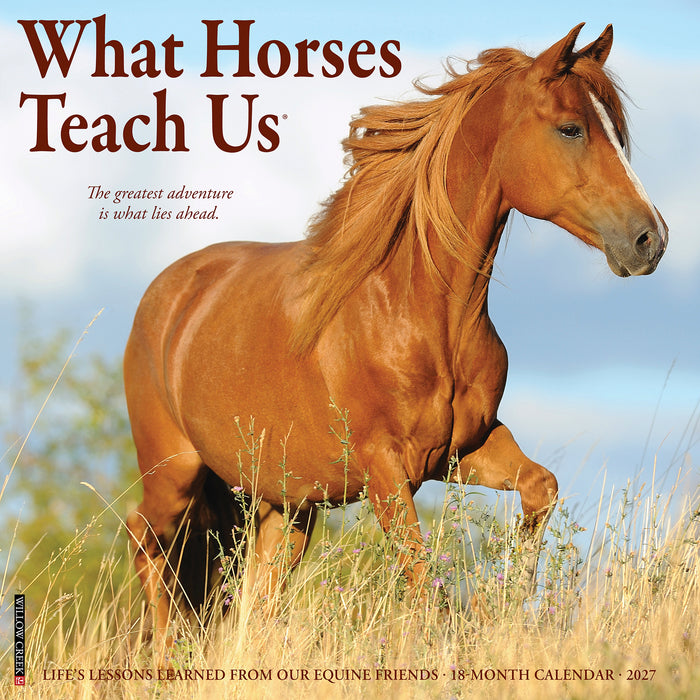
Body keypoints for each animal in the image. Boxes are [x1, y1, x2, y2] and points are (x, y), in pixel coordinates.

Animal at [124, 24, 667, 647]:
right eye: (571, 128)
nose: (651, 239)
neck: (421, 312)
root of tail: (166, 294)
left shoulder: (463, 450)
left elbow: (542, 487)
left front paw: (504, 602)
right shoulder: (384, 471)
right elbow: (422, 579)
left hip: (288, 505)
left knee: (257, 592)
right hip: (173, 472)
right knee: (146, 541)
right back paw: (165, 653)